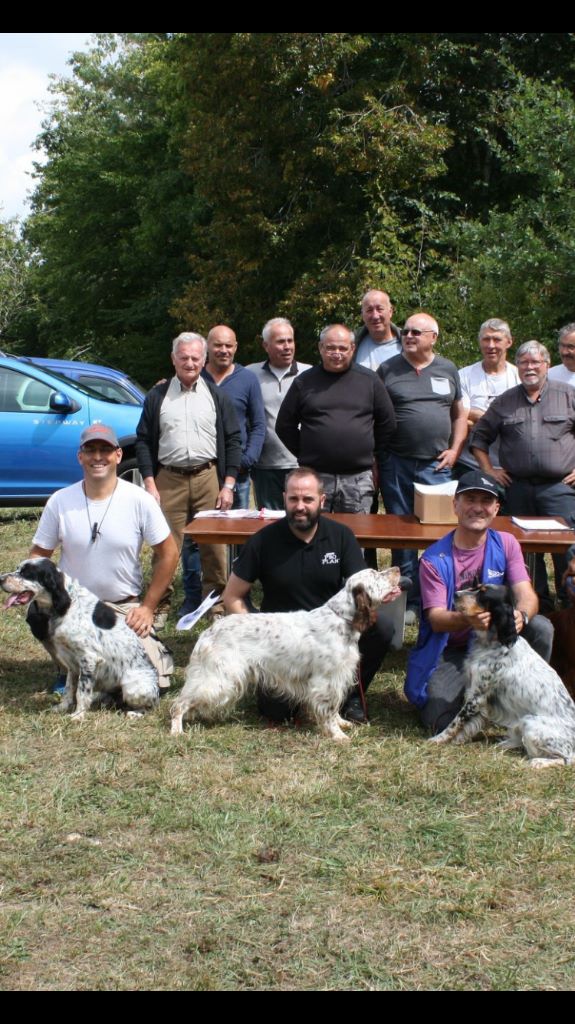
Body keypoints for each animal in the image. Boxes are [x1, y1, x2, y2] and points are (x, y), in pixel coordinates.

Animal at [0, 561, 158, 720]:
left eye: (26, 573)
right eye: (18, 569)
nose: (0, 579)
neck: (68, 605)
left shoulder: (89, 659)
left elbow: (81, 691)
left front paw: (78, 715)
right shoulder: (71, 663)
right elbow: (69, 688)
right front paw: (62, 707)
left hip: (133, 687)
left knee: (149, 707)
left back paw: (134, 713)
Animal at [170, 565, 399, 741]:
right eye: (376, 574)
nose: (397, 570)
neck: (341, 618)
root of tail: (208, 632)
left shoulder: (337, 678)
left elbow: (334, 709)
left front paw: (342, 723)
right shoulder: (326, 681)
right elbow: (329, 709)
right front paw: (337, 735)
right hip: (218, 678)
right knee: (179, 703)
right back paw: (177, 731)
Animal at [427, 585, 572, 770]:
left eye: (482, 594)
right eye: (476, 587)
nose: (456, 594)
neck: (496, 642)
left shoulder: (477, 696)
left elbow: (455, 723)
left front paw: (437, 739)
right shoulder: (476, 693)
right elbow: (466, 725)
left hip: (530, 722)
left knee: (567, 758)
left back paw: (537, 762)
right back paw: (503, 744)